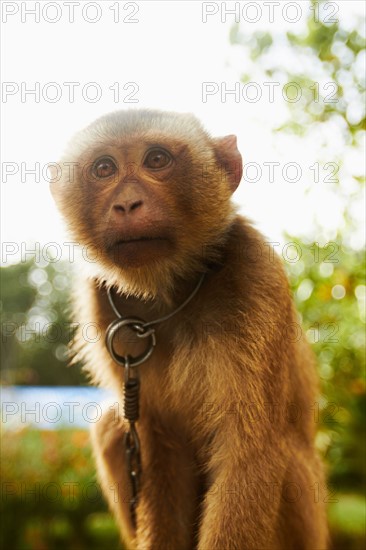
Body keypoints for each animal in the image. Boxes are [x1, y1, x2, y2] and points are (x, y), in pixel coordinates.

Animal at [50, 109, 328, 550]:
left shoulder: (254, 271)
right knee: (113, 424)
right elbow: (156, 442)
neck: (170, 290)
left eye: (157, 160)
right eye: (104, 169)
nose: (127, 203)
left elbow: (250, 450)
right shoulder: (101, 299)